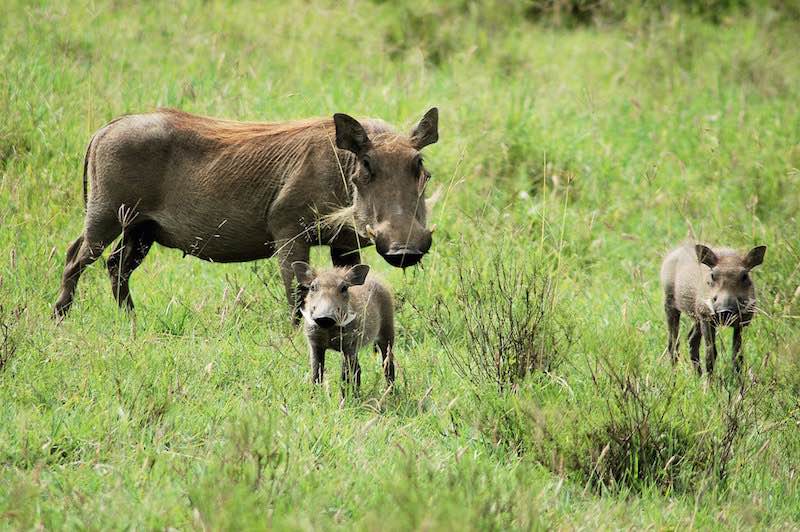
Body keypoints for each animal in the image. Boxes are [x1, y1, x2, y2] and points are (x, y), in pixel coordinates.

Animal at [51, 106, 438, 318]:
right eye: (366, 166)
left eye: (420, 166)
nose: (405, 251)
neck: (341, 168)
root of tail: (105, 129)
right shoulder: (288, 232)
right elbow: (297, 292)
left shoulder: (344, 243)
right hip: (105, 215)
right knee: (76, 258)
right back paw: (60, 318)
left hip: (141, 229)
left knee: (117, 266)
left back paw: (131, 320)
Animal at [292, 262, 396, 390]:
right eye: (312, 287)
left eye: (344, 288)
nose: (325, 318)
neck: (328, 331)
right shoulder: (315, 345)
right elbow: (316, 374)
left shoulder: (348, 346)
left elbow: (345, 377)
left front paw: (345, 396)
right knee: (358, 369)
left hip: (387, 333)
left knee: (387, 363)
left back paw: (390, 391)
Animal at [660, 244, 764, 374]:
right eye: (713, 275)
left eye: (745, 276)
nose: (725, 311)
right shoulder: (707, 320)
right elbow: (711, 354)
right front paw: (710, 381)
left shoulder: (741, 323)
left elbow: (737, 356)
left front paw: (740, 380)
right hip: (670, 304)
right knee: (673, 343)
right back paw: (674, 376)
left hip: (697, 317)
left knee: (691, 340)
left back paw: (698, 376)